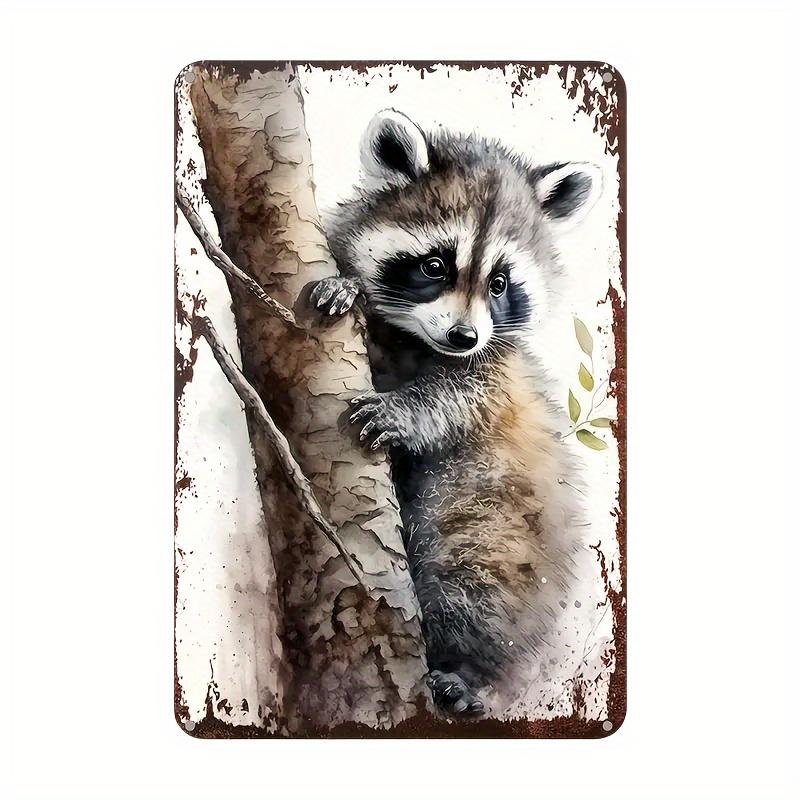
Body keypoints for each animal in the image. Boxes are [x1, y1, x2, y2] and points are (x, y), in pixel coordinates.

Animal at [312, 110, 602, 717]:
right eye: (435, 265)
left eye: (500, 283)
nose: (463, 336)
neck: (414, 338)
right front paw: (347, 286)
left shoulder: (497, 371)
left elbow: (461, 396)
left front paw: (403, 410)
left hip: (505, 531)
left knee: (476, 589)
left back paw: (470, 671)